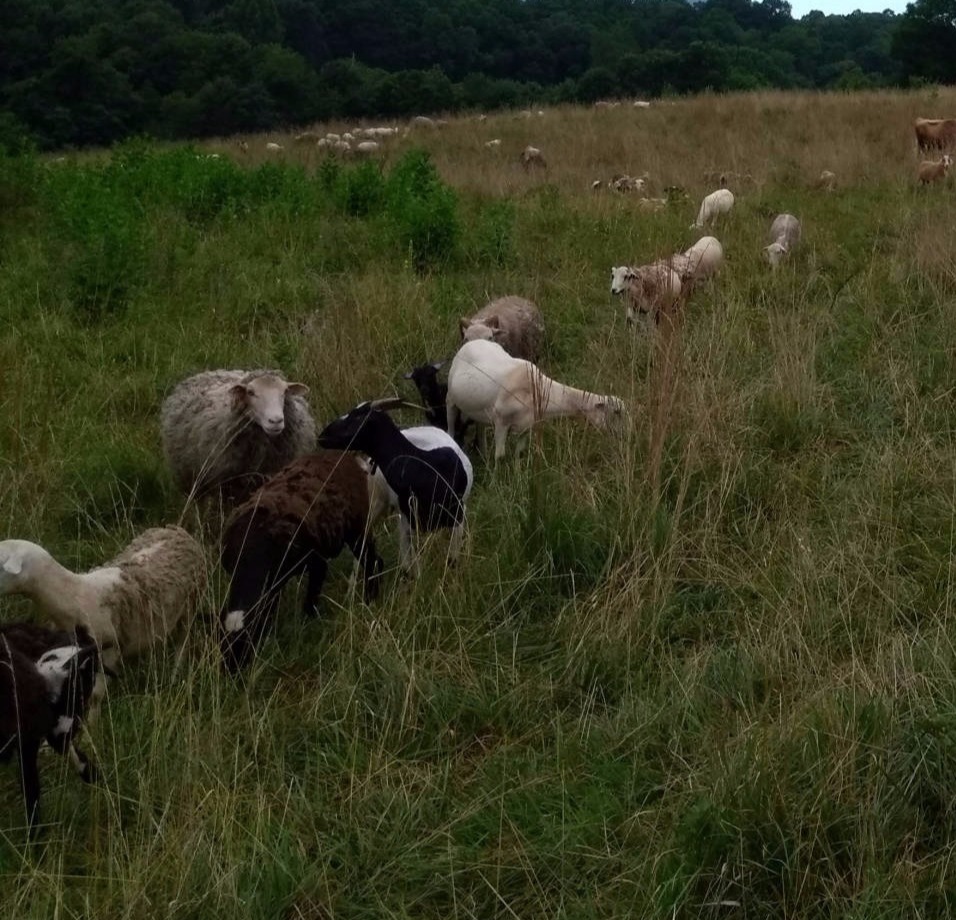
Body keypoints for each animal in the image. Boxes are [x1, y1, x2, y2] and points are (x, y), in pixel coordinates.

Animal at [0, 527, 206, 672]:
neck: (74, 594)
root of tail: (178, 530)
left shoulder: (108, 650)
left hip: (192, 603)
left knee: (183, 639)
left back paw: (176, 670)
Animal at [219, 452, 383, 672]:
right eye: (222, 644)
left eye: (249, 640)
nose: (231, 672)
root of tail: (347, 458)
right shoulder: (273, 583)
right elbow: (270, 608)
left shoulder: (315, 561)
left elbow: (312, 593)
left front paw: (309, 620)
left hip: (357, 529)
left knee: (374, 561)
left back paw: (370, 598)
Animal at [317, 400, 474, 575]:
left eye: (357, 417)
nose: (322, 435)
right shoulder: (409, 521)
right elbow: (410, 566)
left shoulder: (458, 516)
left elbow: (452, 560)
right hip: (376, 504)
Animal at [446, 340, 625, 461]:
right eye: (616, 412)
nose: (623, 435)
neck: (540, 390)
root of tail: (472, 341)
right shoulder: (501, 421)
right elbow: (501, 456)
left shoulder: (527, 426)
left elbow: (519, 454)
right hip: (451, 398)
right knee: (451, 422)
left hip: (479, 410)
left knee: (480, 427)